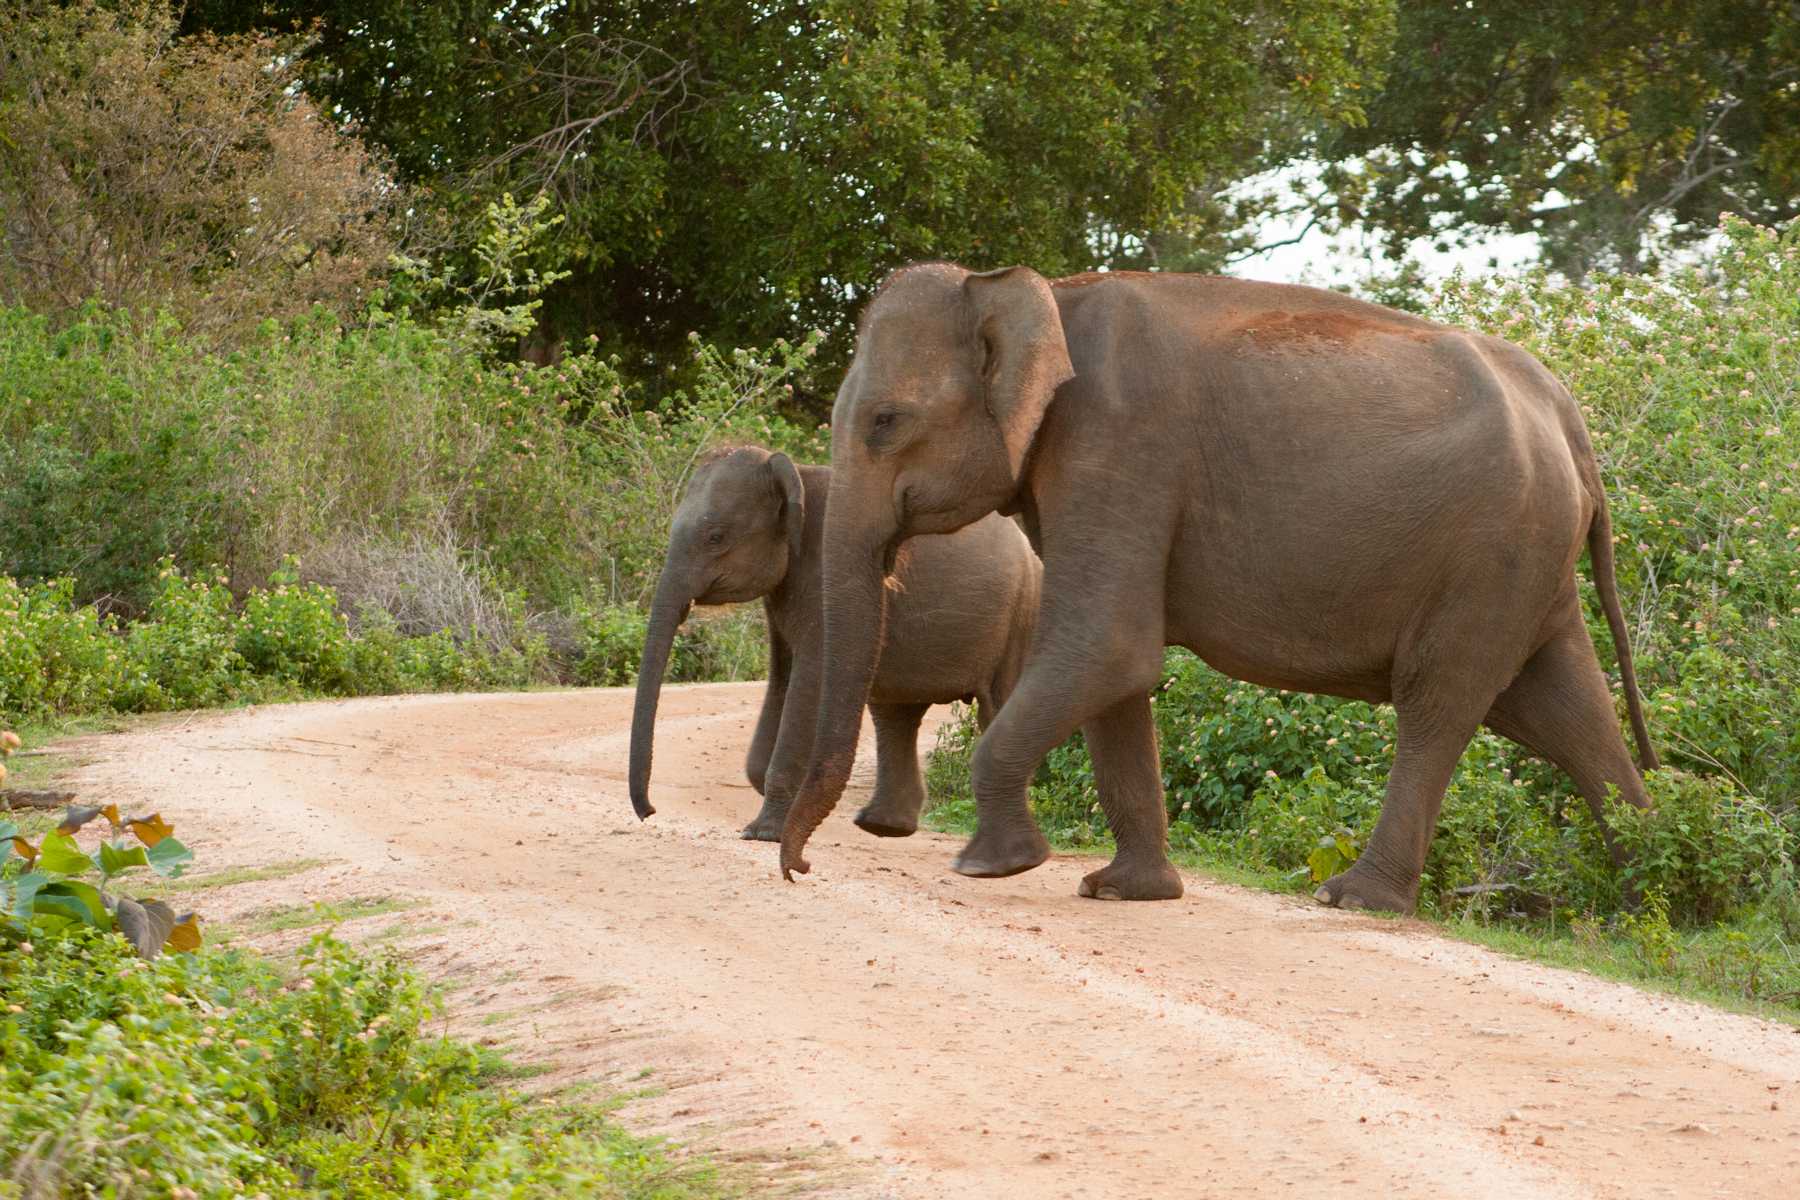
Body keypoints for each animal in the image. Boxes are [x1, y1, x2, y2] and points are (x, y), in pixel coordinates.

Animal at [630, 444, 1044, 845]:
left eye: (716, 537)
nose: (649, 812)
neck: (794, 474)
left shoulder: (828, 575)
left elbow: (809, 676)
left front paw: (763, 834)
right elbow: (782, 674)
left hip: (1022, 617)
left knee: (994, 707)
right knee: (895, 714)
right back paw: (886, 828)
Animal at [781, 268, 1648, 913]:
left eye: (886, 421)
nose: (798, 870)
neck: (1044, 293)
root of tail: (1567, 414)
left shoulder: (1119, 443)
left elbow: (1107, 648)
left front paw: (995, 867)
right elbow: (1114, 673)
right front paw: (1124, 892)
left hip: (1494, 550)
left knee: (1439, 704)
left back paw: (1354, 899)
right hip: (1528, 559)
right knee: (1565, 711)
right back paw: (1643, 895)